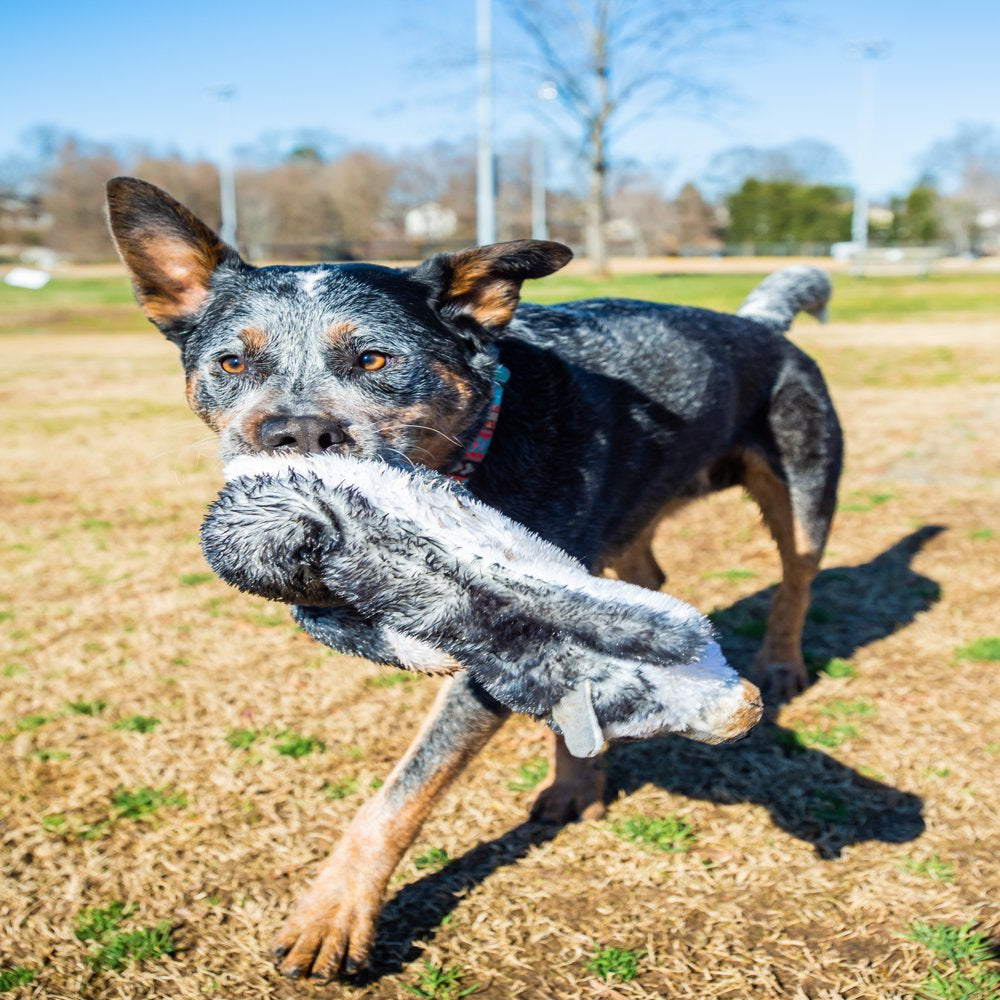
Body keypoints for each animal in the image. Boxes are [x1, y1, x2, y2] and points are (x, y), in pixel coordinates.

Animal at [105, 178, 840, 976]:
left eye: (374, 360)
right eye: (232, 364)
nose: (294, 433)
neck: (475, 458)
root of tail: (760, 325)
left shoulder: (506, 637)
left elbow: (404, 790)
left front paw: (330, 918)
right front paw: (579, 776)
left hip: (803, 490)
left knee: (797, 577)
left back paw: (781, 663)